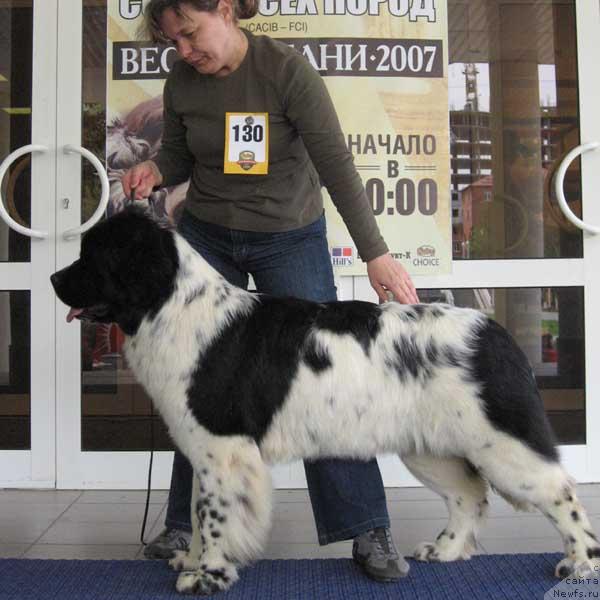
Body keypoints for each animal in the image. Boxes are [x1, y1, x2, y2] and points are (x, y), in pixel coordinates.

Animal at [52, 209, 600, 592]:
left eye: (93, 257)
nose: (55, 279)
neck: (173, 308)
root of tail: (494, 331)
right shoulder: (204, 447)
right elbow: (198, 508)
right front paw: (192, 561)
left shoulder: (224, 447)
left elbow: (214, 513)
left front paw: (206, 576)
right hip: (430, 448)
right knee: (469, 493)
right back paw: (444, 552)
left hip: (502, 442)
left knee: (561, 491)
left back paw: (579, 564)